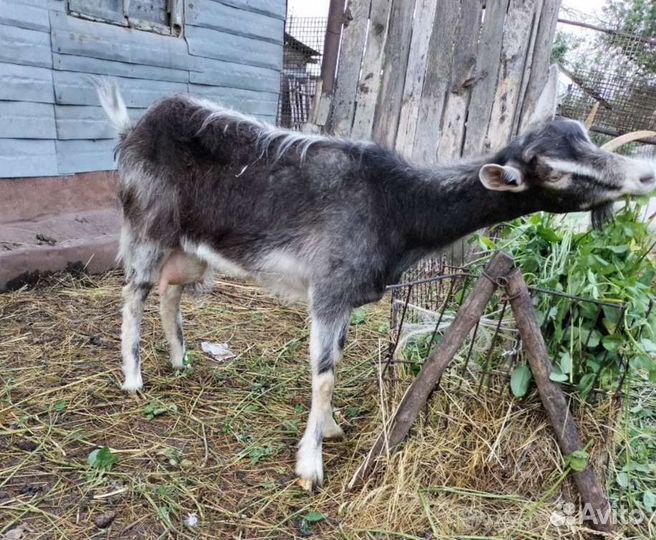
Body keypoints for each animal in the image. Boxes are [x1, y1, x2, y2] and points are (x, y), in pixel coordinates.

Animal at [97, 79, 655, 491]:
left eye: (583, 134)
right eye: (554, 172)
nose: (645, 175)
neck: (398, 206)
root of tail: (133, 128)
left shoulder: (347, 298)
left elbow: (337, 363)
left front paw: (330, 426)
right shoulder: (330, 290)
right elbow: (324, 374)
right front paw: (311, 467)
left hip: (190, 250)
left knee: (169, 290)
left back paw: (179, 359)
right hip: (147, 225)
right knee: (133, 291)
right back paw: (133, 378)